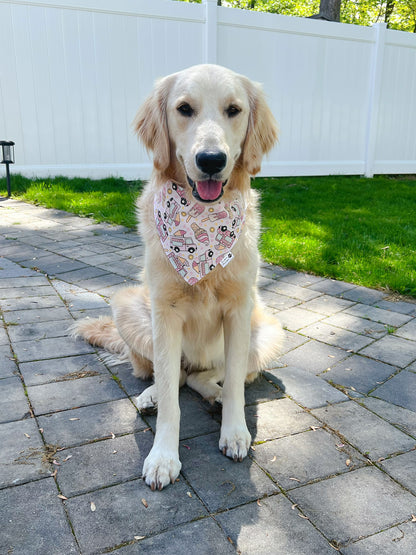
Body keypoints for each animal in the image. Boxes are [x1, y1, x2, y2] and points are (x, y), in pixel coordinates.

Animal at [75, 65, 282, 490]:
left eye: (234, 110)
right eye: (184, 109)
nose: (211, 159)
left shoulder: (240, 309)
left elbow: (233, 380)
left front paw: (234, 431)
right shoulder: (165, 312)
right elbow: (171, 394)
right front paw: (163, 457)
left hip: (269, 329)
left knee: (209, 375)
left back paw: (214, 394)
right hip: (127, 306)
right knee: (172, 375)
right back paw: (152, 395)